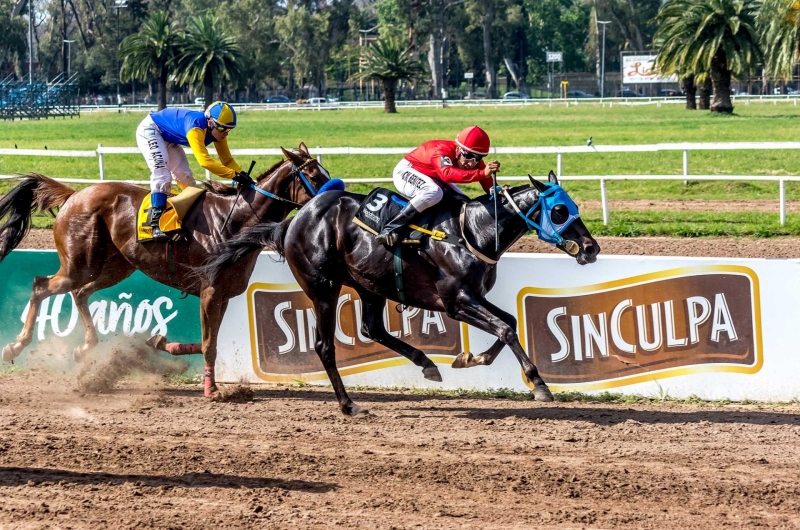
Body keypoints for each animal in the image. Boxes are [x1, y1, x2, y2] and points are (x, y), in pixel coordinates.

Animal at [0, 142, 332, 394]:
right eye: (314, 175)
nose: (333, 198)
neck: (236, 220)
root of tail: (73, 195)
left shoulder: (222, 294)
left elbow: (206, 341)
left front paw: (161, 342)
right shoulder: (210, 290)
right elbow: (209, 344)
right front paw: (212, 391)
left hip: (115, 267)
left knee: (80, 293)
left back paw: (85, 348)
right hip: (79, 265)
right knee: (41, 285)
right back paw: (15, 346)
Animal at [206, 171, 600, 414]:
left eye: (573, 207)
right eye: (559, 210)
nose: (591, 248)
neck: (472, 231)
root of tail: (293, 221)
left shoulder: (474, 296)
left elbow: (510, 323)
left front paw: (470, 359)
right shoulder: (456, 302)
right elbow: (504, 329)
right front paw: (539, 383)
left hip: (369, 285)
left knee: (372, 328)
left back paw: (426, 364)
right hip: (323, 286)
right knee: (324, 346)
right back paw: (349, 405)